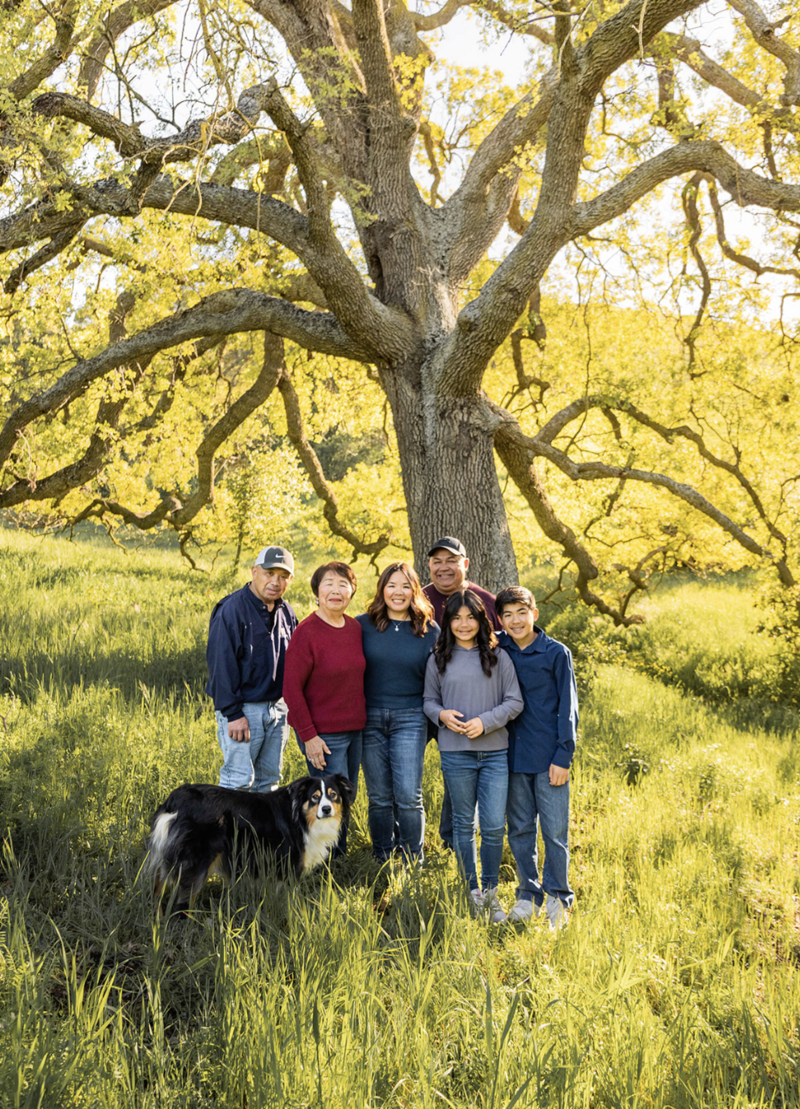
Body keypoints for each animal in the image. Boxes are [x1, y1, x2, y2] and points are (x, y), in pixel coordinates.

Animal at [147, 771, 352, 909]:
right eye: (315, 797)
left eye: (333, 795)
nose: (326, 809)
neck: (300, 816)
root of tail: (176, 798)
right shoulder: (289, 865)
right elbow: (289, 897)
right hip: (196, 861)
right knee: (183, 899)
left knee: (158, 884)